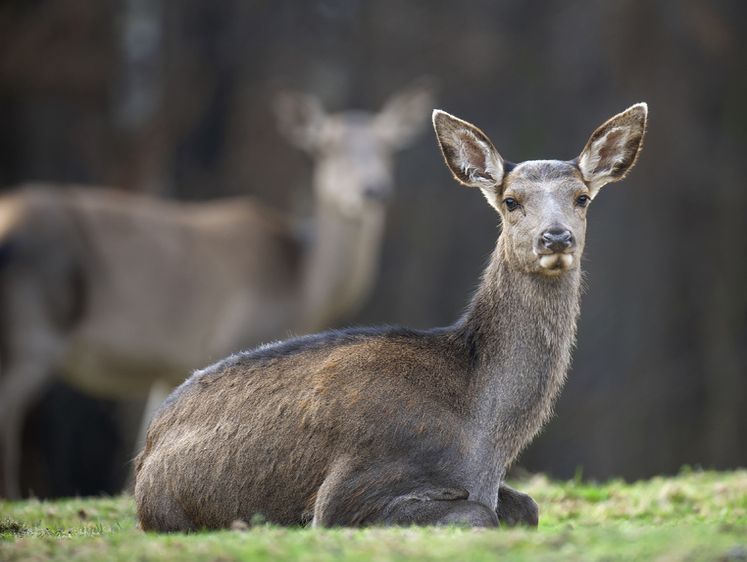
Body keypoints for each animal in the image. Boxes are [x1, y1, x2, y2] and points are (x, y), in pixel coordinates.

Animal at [0, 80, 438, 498]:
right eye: (324, 147)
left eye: (388, 145)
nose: (372, 189)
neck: (302, 285)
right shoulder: (240, 333)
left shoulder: (174, 364)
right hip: (33, 327)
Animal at [136, 101, 648, 528]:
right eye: (511, 201)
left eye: (582, 197)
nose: (556, 237)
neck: (483, 440)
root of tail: (146, 450)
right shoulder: (349, 488)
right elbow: (480, 514)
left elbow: (528, 505)